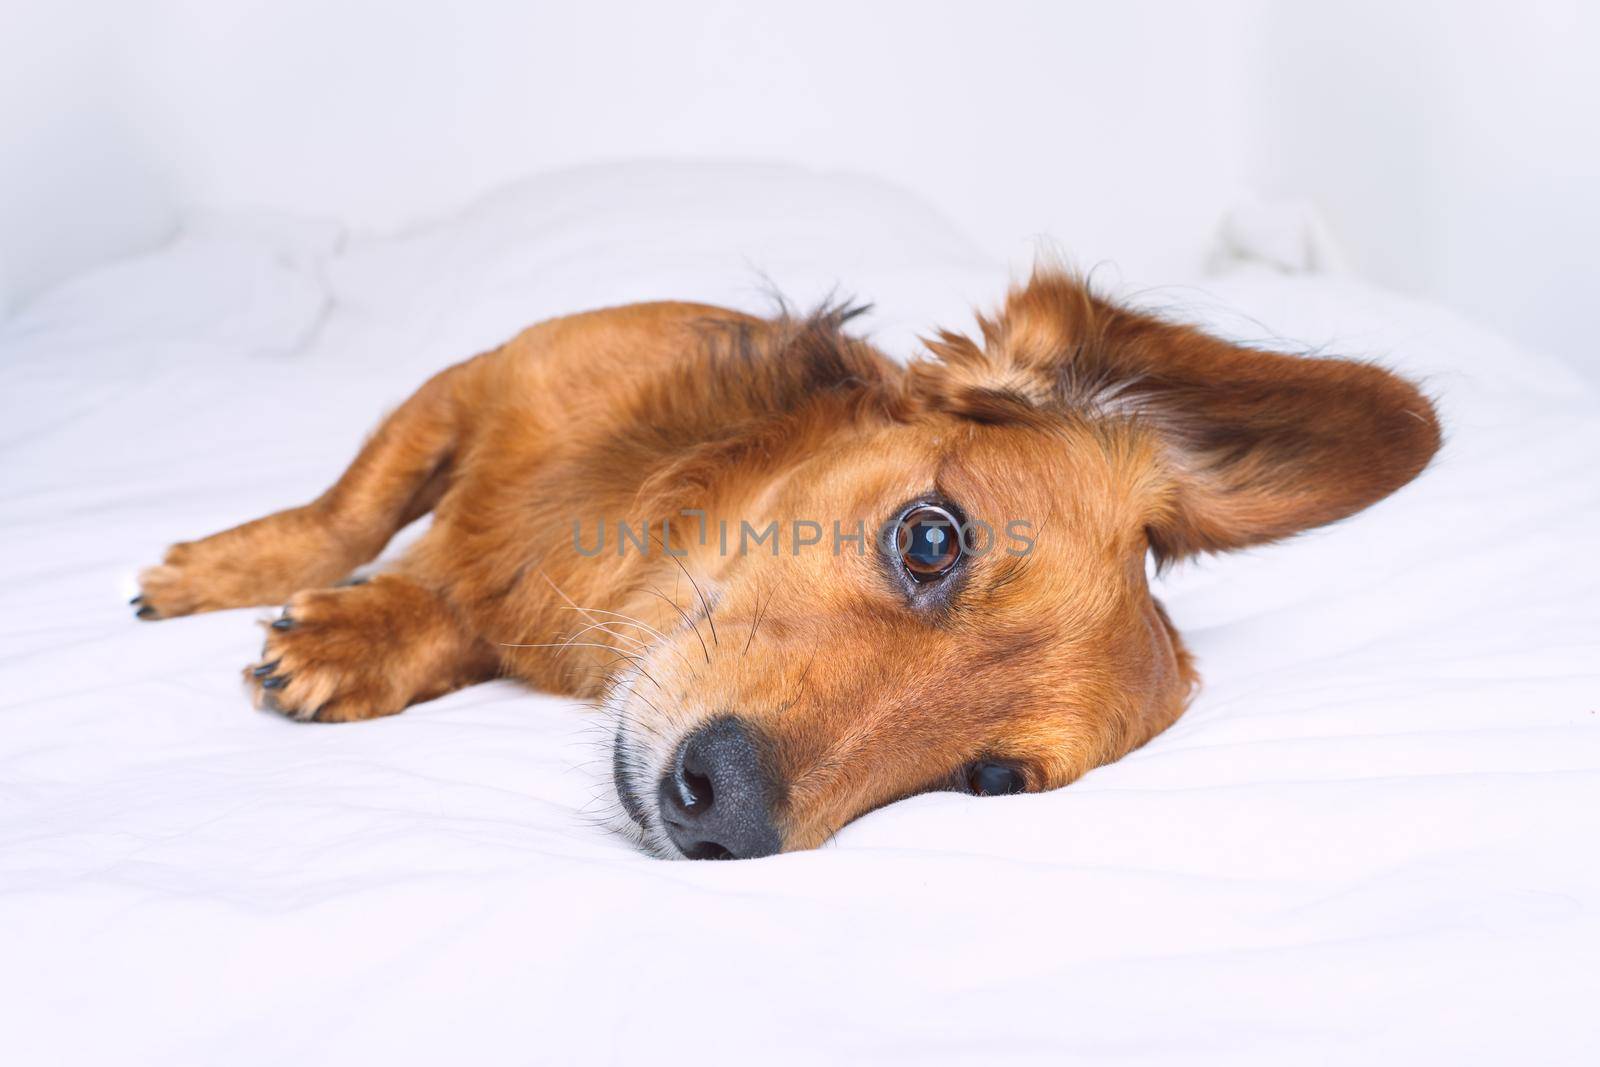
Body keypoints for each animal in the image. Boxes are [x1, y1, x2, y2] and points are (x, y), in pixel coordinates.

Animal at [137, 273, 1440, 857]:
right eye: (931, 537)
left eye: (989, 780)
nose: (726, 812)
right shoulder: (478, 377)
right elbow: (349, 510)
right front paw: (222, 569)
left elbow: (441, 598)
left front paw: (365, 636)